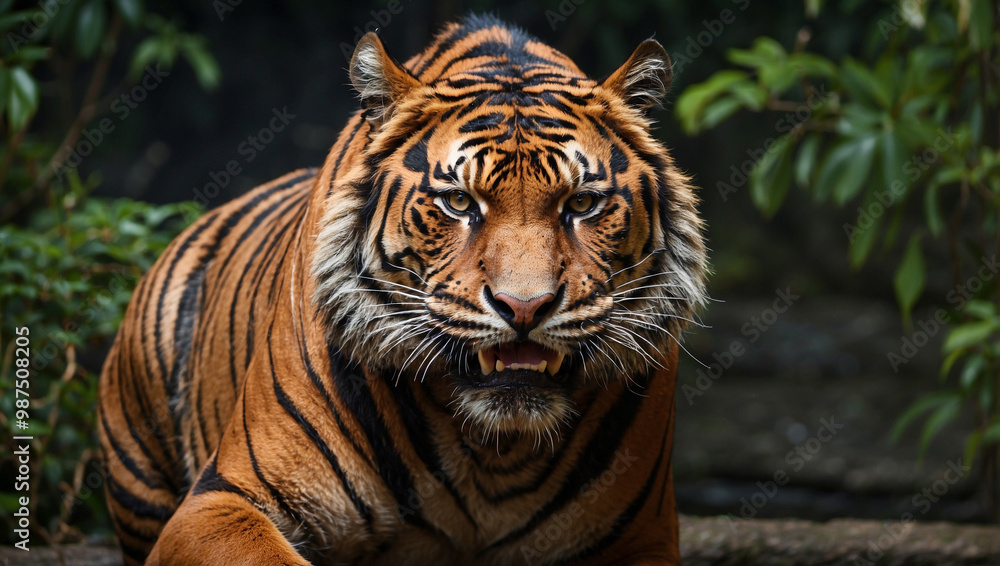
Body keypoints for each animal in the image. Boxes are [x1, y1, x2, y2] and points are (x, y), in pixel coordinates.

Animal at [98, 13, 706, 566]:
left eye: (581, 203)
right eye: (459, 202)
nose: (525, 307)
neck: (494, 449)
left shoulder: (645, 538)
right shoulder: (219, 501)